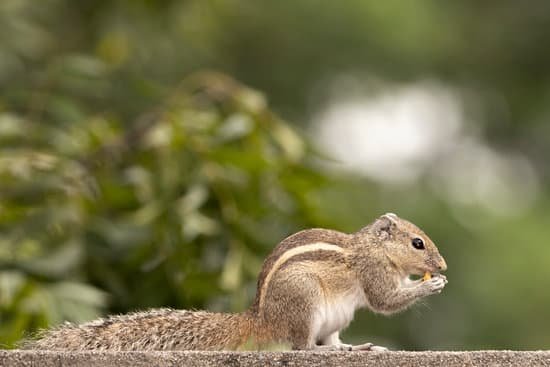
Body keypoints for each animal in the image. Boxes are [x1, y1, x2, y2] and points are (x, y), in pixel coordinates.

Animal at [22, 214, 448, 352]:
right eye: (418, 243)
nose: (443, 264)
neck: (372, 247)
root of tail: (260, 321)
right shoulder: (373, 272)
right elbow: (385, 300)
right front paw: (431, 285)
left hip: (336, 319)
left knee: (327, 341)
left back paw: (353, 348)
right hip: (305, 302)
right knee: (302, 347)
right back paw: (329, 352)